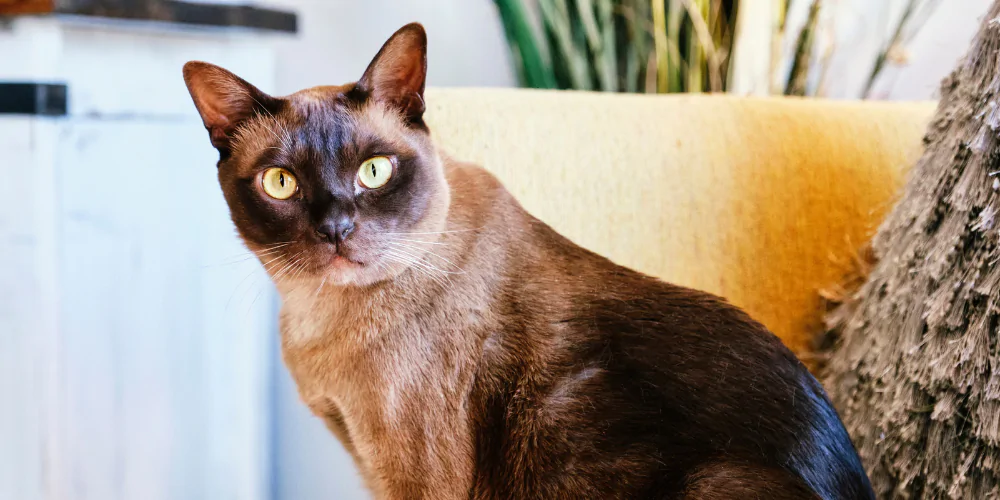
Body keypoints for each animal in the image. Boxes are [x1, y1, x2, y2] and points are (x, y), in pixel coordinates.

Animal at [184, 23, 872, 500]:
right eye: (281, 184)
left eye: (373, 171)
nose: (335, 229)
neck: (320, 320)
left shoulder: (412, 474)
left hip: (715, 482)